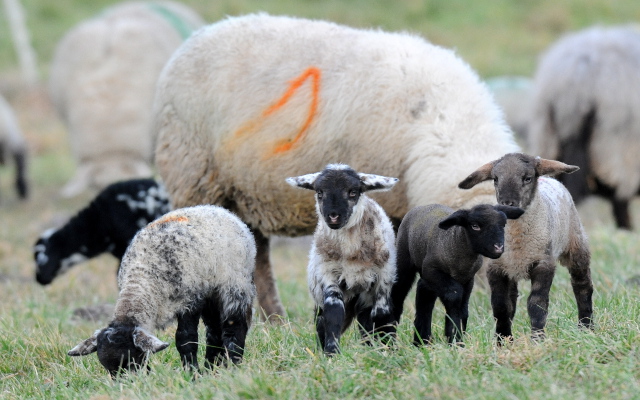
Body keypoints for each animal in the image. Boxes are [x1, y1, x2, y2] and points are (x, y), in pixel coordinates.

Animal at [68, 205, 256, 376]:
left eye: (130, 359)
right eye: (108, 368)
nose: (127, 384)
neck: (142, 279)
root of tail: (220, 210)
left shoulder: (190, 300)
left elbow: (186, 339)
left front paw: (192, 373)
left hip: (235, 283)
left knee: (234, 326)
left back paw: (233, 365)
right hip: (210, 292)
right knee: (214, 331)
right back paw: (212, 368)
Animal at [152, 13, 521, 320]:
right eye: (474, 234)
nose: (496, 314)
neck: (442, 123)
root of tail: (199, 36)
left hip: (240, 190)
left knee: (256, 255)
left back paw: (276, 322)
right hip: (195, 174)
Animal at [286, 164, 398, 355]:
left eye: (353, 192)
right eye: (320, 192)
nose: (333, 216)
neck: (350, 249)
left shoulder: (383, 279)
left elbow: (382, 315)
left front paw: (388, 349)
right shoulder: (328, 274)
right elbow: (334, 313)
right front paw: (332, 352)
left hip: (364, 297)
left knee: (367, 322)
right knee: (322, 323)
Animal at [390, 203, 524, 345]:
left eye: (503, 225)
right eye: (475, 226)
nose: (498, 248)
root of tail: (424, 206)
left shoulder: (468, 279)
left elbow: (463, 308)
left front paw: (457, 337)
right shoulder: (433, 271)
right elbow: (454, 296)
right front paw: (454, 337)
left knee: (424, 293)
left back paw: (422, 341)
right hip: (404, 261)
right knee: (399, 294)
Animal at [458, 153, 594, 342]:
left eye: (527, 178)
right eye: (495, 179)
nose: (507, 203)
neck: (517, 238)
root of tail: (548, 178)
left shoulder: (543, 263)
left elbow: (537, 304)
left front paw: (537, 339)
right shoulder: (496, 267)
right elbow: (501, 306)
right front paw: (502, 340)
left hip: (576, 243)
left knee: (582, 285)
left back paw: (586, 327)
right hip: (511, 268)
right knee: (512, 299)